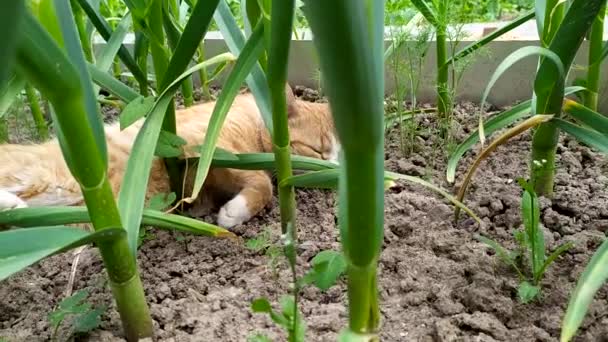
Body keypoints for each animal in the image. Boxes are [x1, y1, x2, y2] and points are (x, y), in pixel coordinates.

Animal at [0, 85, 338, 230]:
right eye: (318, 150)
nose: (334, 169)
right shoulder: (205, 145)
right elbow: (261, 182)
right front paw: (234, 213)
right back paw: (10, 203)